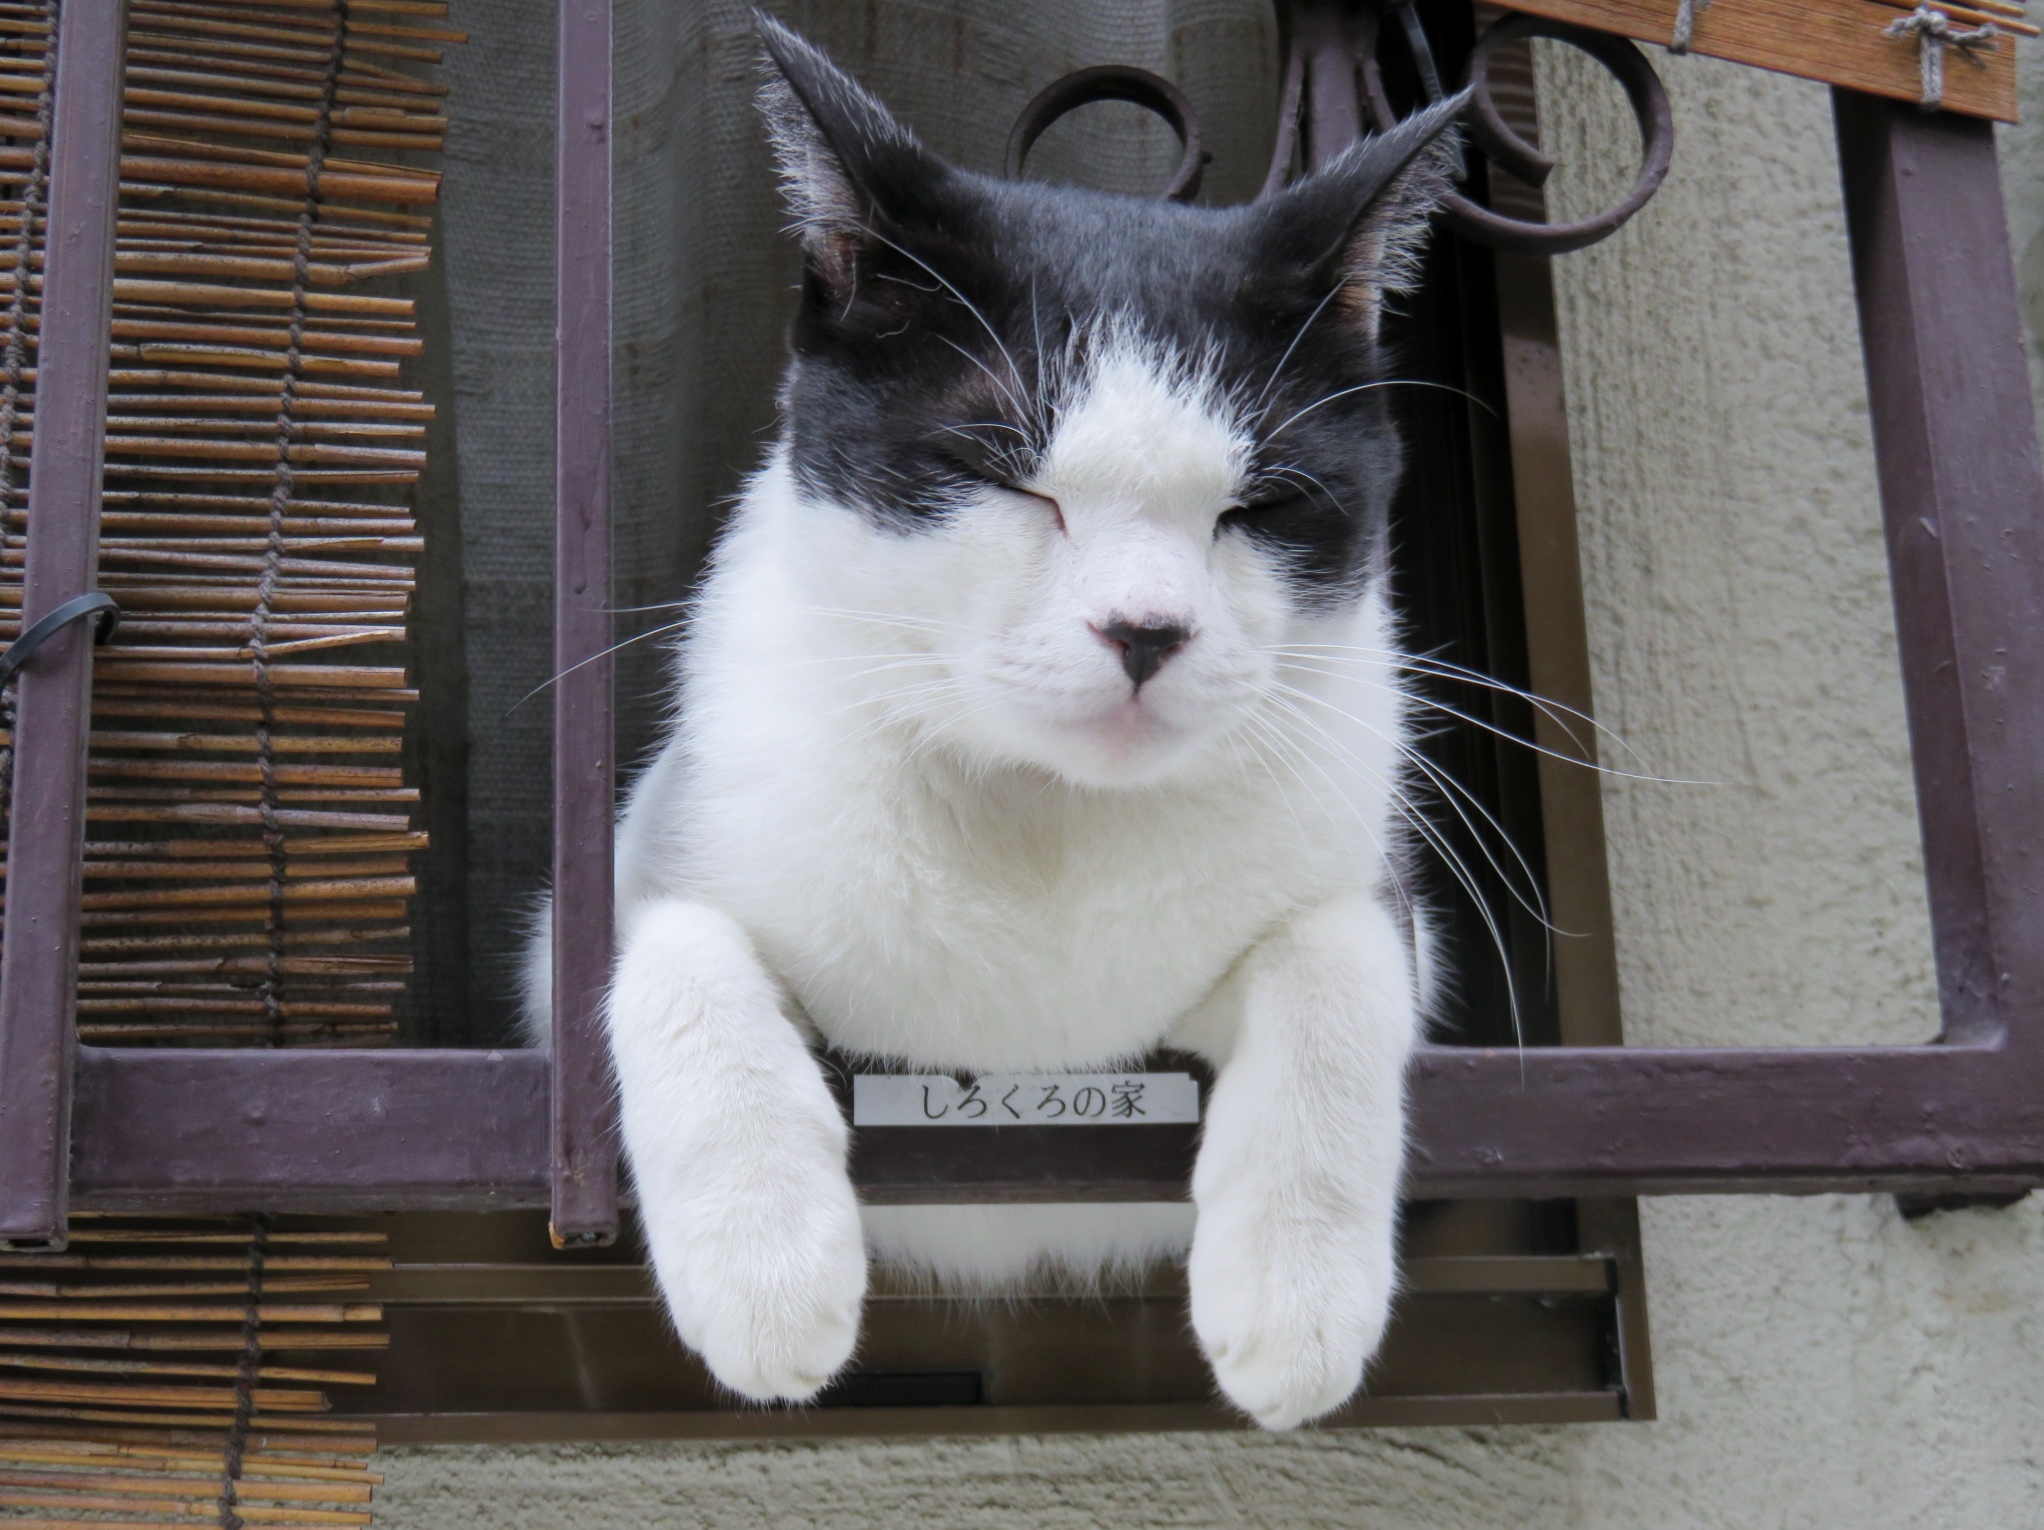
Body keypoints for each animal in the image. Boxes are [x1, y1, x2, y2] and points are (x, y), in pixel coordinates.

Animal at [523, 17, 1455, 1429]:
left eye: (1260, 507)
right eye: (1003, 475)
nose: (1145, 628)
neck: (1046, 818)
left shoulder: (1371, 894)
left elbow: (1344, 958)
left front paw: (1296, 1302)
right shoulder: (610, 896)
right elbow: (665, 947)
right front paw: (765, 1276)